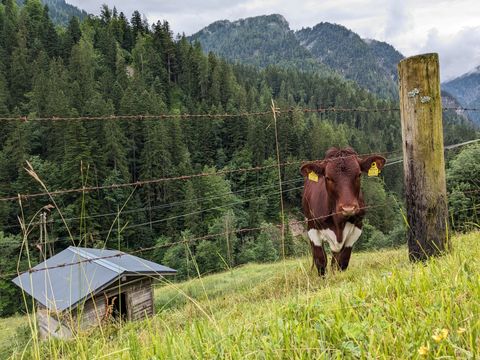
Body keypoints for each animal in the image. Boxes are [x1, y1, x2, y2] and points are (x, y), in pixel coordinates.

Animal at [302, 147, 384, 276]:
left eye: (359, 174)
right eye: (328, 177)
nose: (348, 208)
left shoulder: (357, 228)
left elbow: (342, 261)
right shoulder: (312, 229)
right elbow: (321, 261)